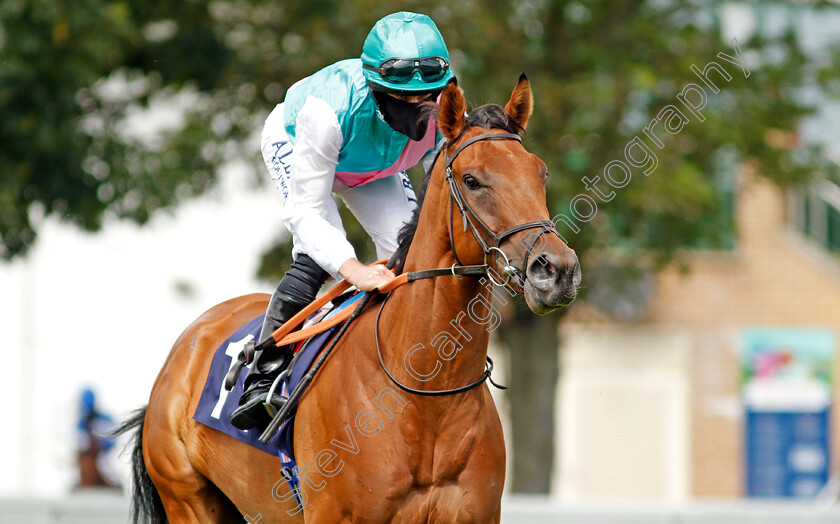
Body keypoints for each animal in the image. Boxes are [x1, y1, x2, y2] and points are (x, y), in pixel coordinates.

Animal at [115, 74, 576, 524]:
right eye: (472, 180)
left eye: (541, 173)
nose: (557, 270)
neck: (425, 394)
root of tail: (186, 345)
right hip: (187, 498)